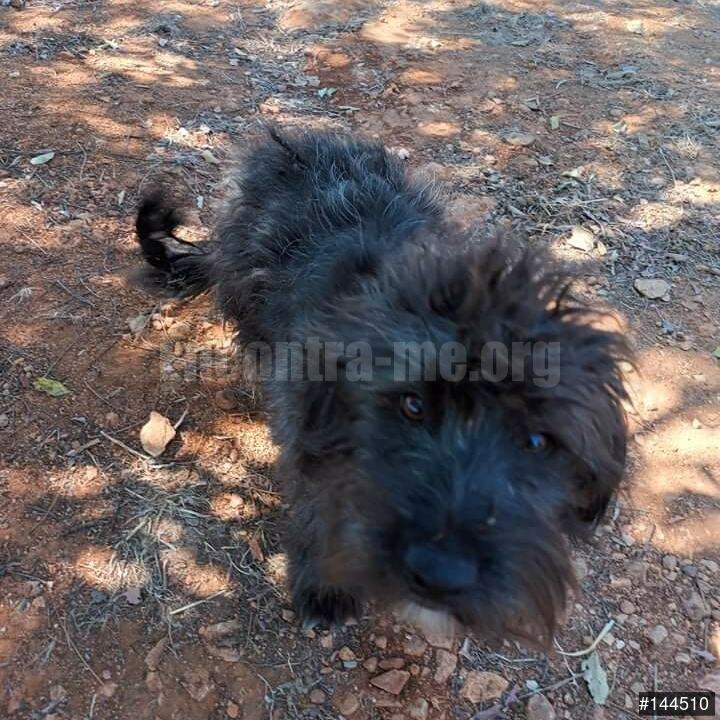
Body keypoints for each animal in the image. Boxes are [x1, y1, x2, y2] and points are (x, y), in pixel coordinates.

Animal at [135, 125, 630, 643]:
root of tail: (296, 140)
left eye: (537, 441)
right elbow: (319, 503)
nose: (439, 572)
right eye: (412, 405)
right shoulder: (309, 438)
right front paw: (326, 586)